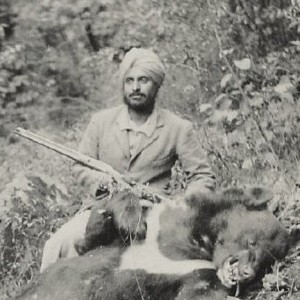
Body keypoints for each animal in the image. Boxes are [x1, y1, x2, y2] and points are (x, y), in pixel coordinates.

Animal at [15, 186, 290, 298]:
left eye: (267, 263)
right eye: (252, 241)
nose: (246, 273)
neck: (200, 244)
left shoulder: (199, 278)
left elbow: (197, 294)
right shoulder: (160, 224)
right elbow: (93, 238)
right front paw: (130, 221)